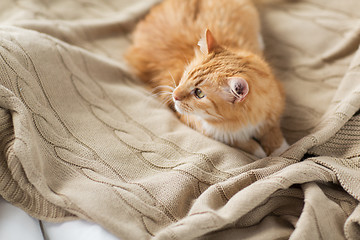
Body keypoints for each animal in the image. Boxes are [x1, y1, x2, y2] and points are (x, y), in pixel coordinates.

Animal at [125, 0, 288, 158]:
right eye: (186, 75)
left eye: (199, 93)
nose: (174, 96)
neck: (242, 122)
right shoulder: (203, 127)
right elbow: (240, 141)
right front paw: (260, 151)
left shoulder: (272, 109)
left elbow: (274, 134)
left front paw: (281, 152)